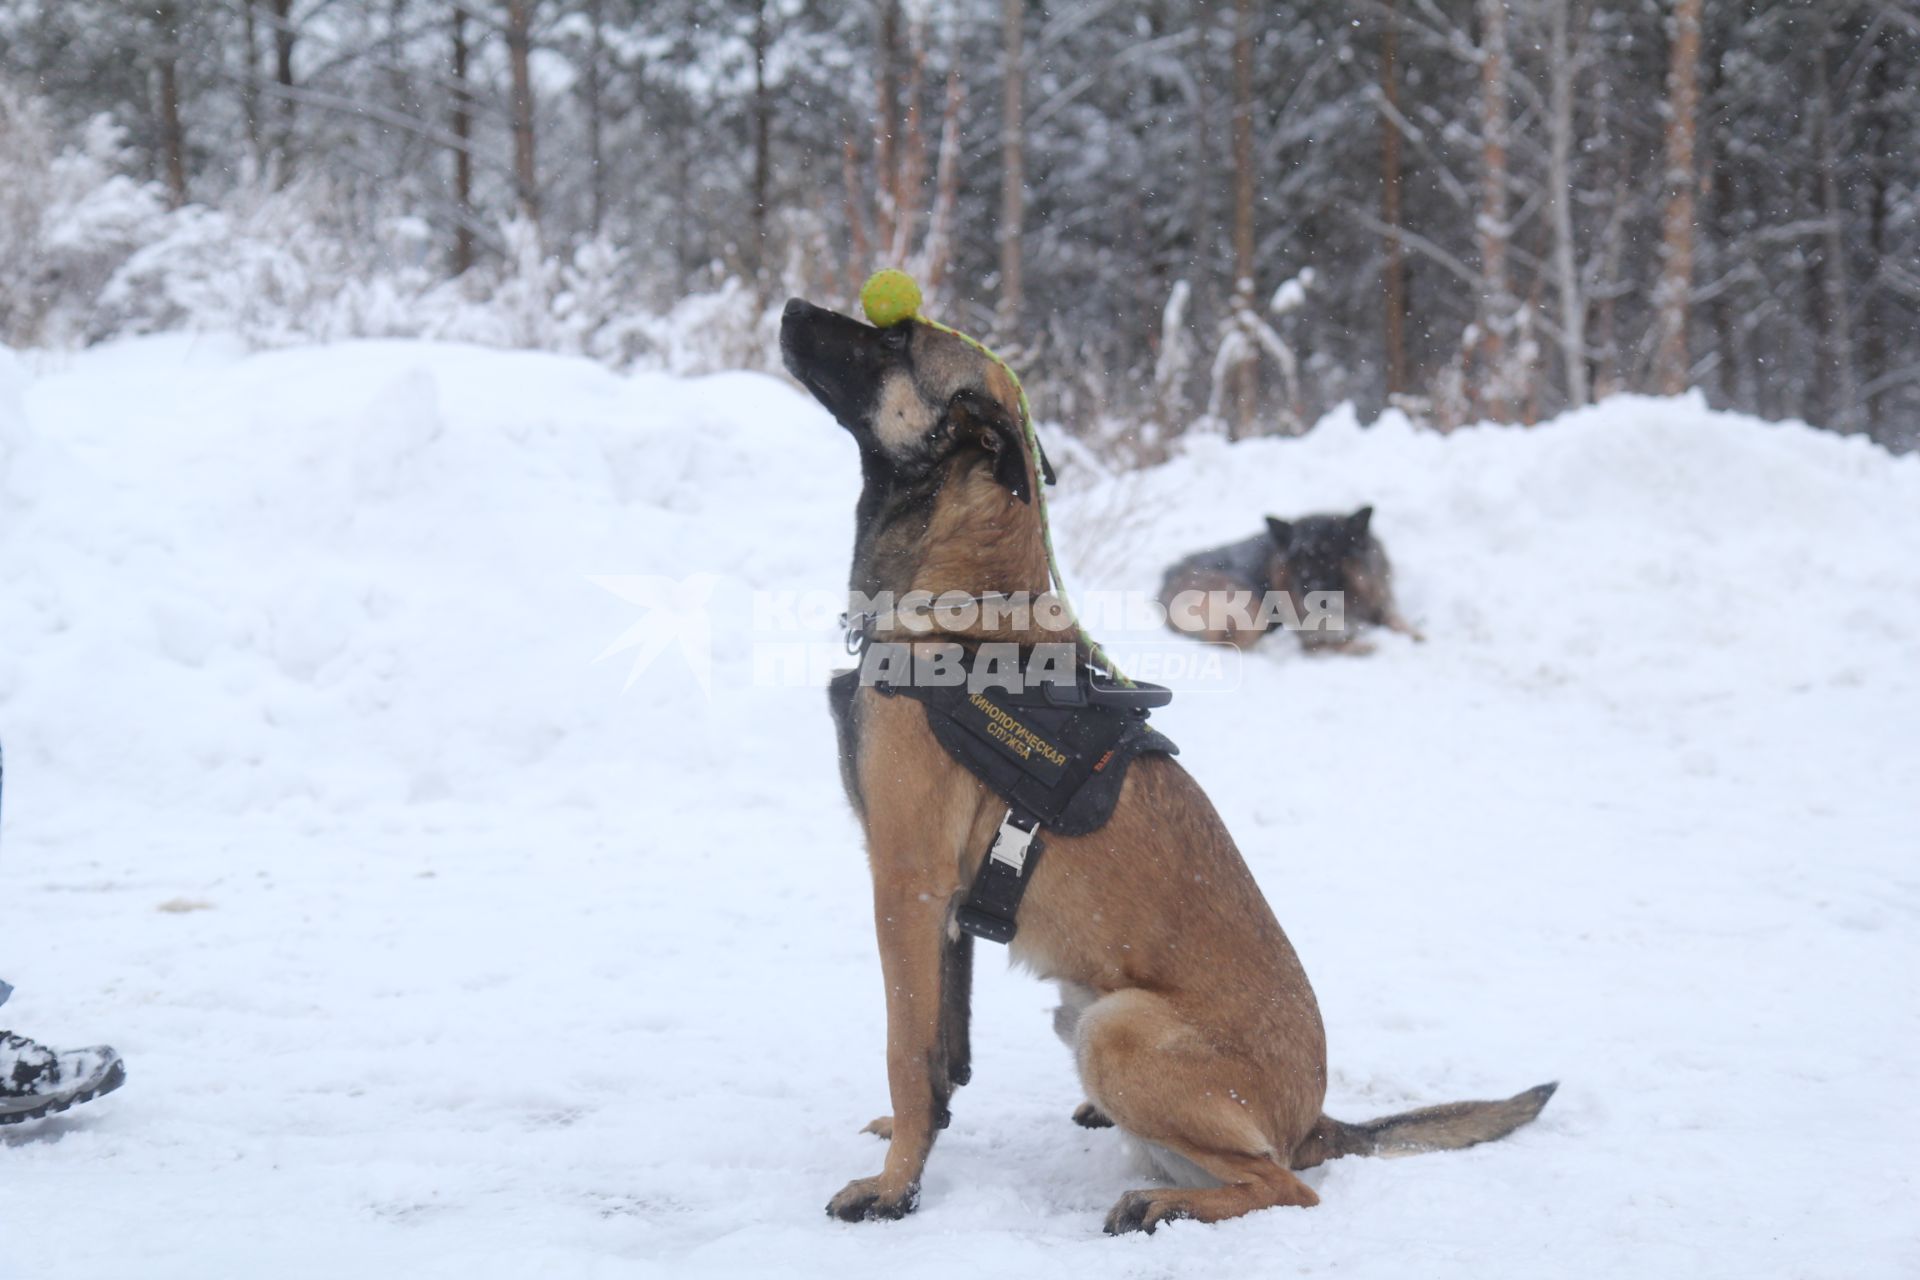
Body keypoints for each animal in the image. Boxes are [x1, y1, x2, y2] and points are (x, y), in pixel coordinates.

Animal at [775, 295, 1543, 1235]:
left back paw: (1158, 1201)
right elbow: (942, 1048)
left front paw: (895, 1188)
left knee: (1286, 1187)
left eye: (895, 338)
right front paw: (912, 1143)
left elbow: (905, 1046)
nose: (791, 306)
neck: (958, 600)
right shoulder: (943, 906)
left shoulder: (907, 882)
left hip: (1116, 1028)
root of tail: (1316, 1122)